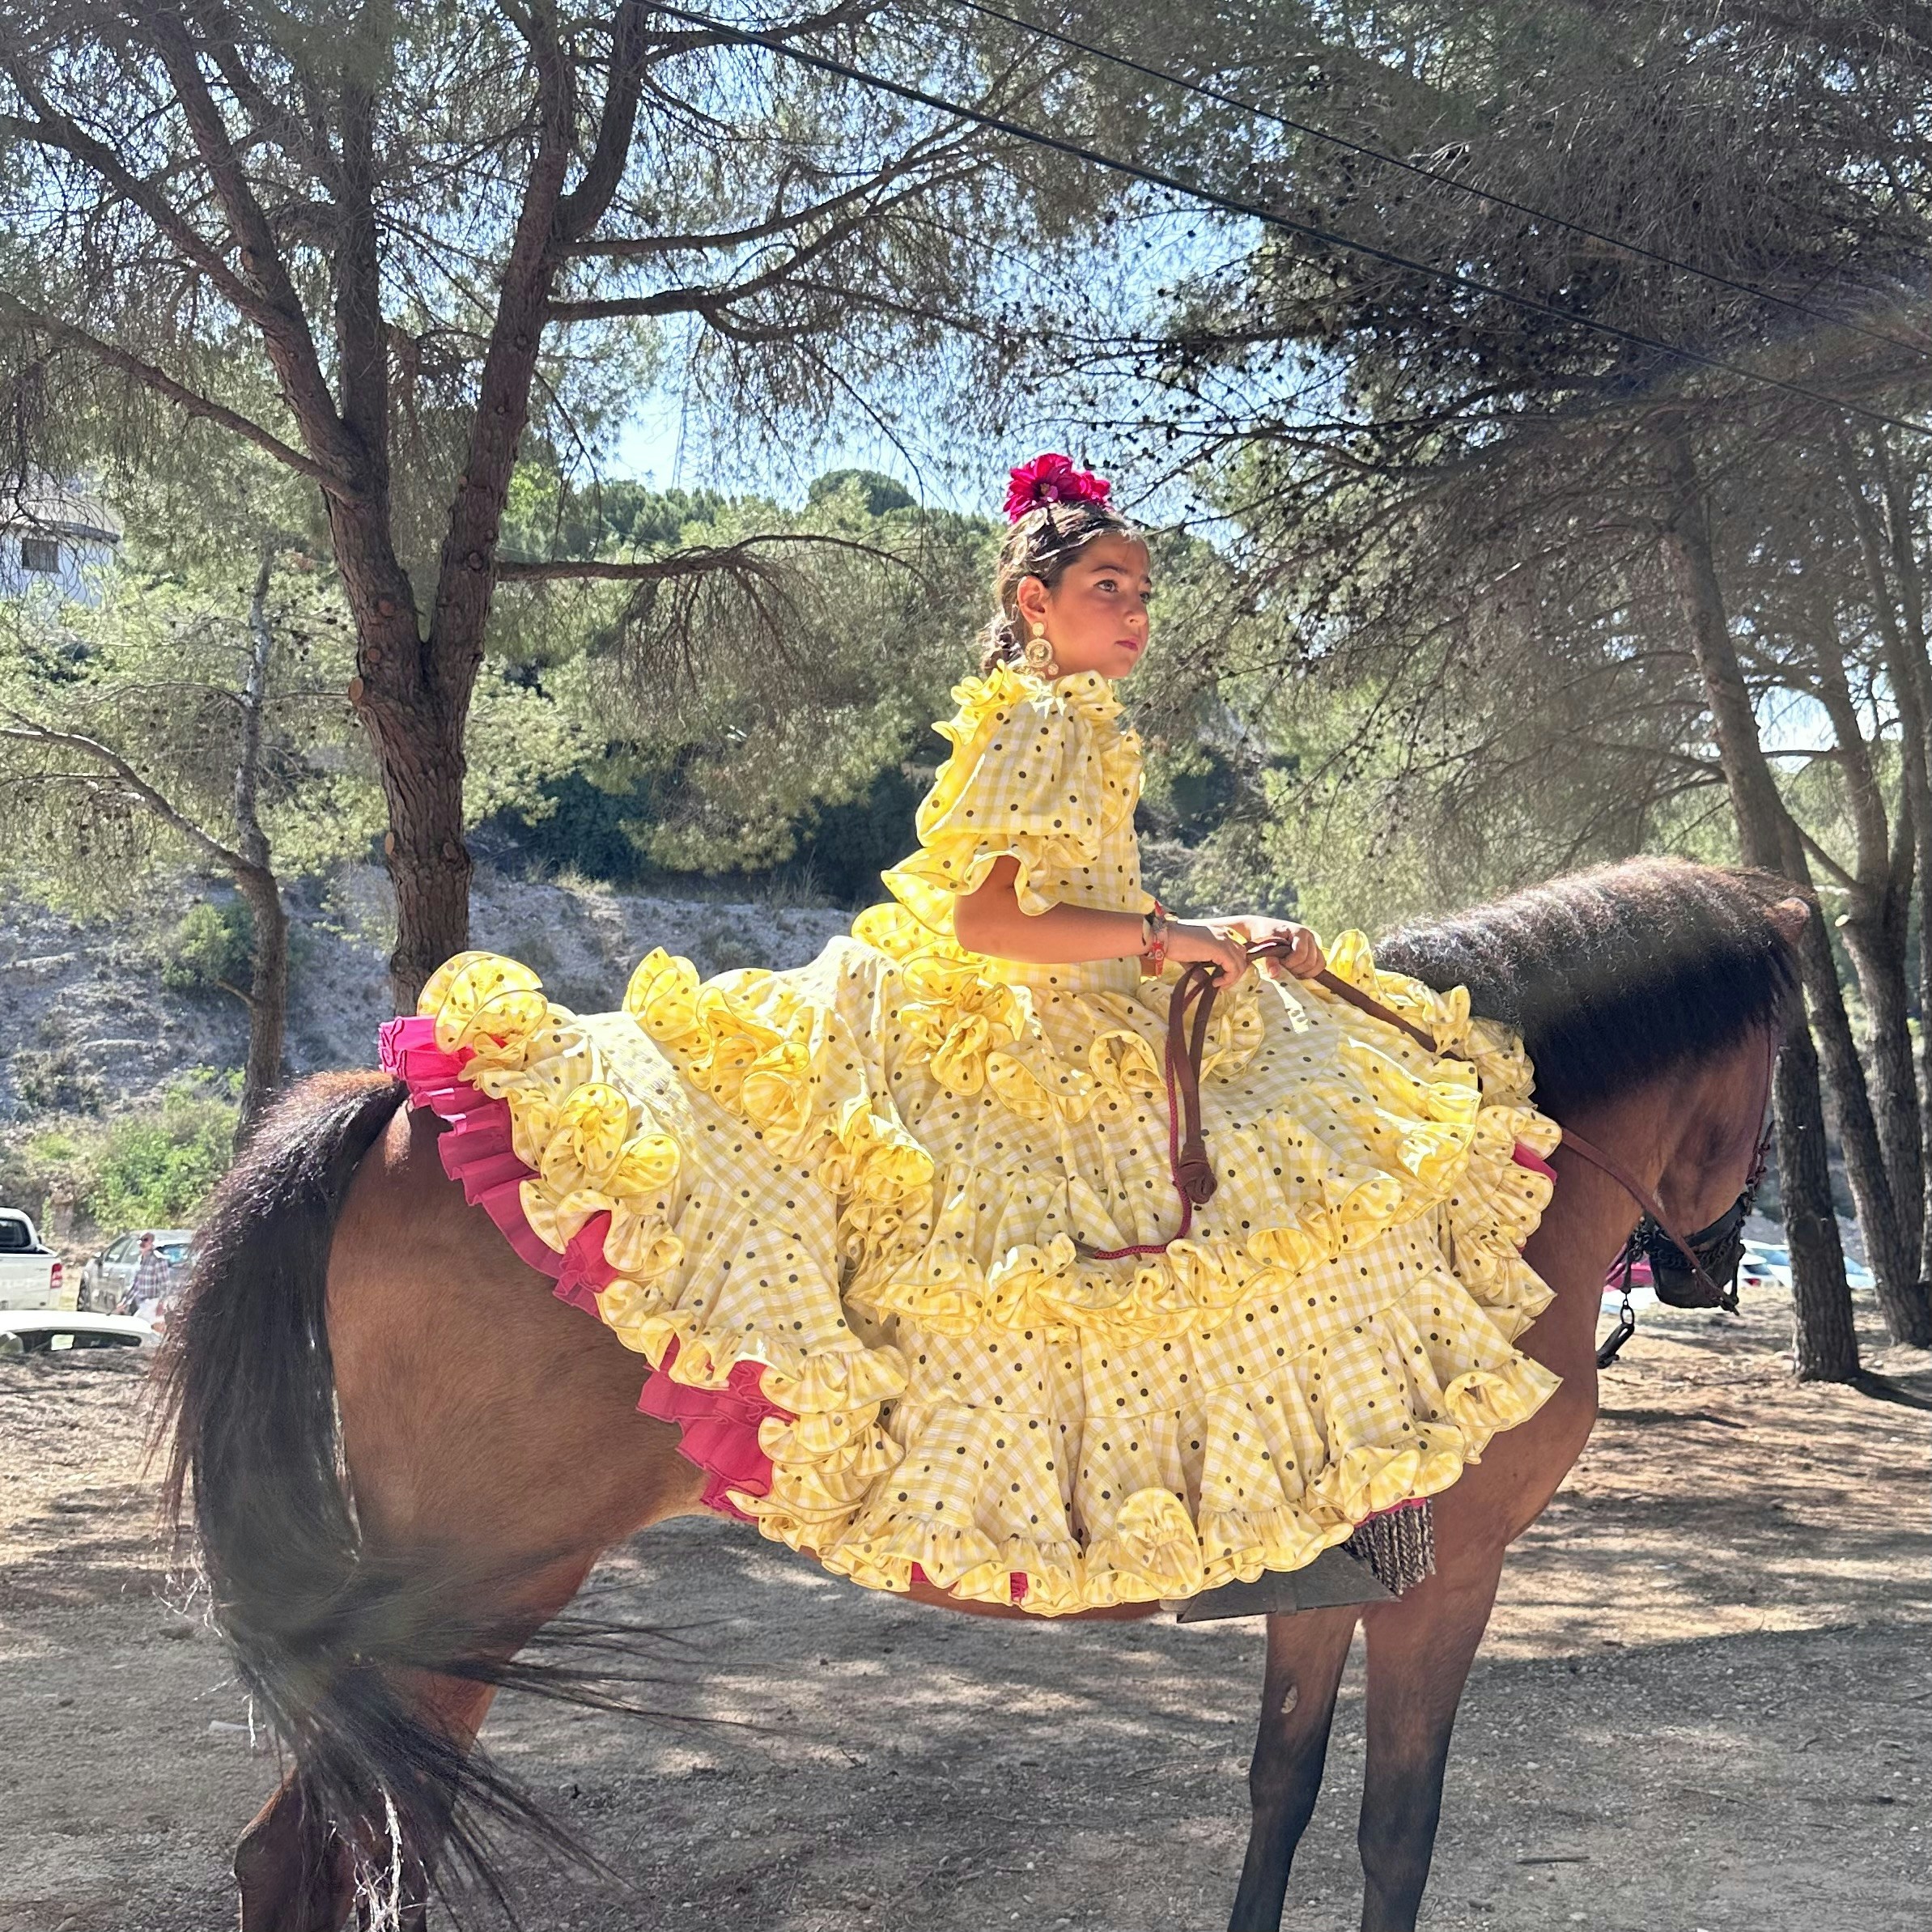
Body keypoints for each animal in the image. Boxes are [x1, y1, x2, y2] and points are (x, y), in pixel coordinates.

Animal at [158, 856, 1803, 1932]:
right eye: (1785, 1060)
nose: (1717, 1260)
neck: (1498, 1155)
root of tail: (391, 1094)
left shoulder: (1330, 1575)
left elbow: (1280, 1785)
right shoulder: (1447, 1581)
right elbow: (1397, 1827)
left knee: (306, 1853)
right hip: (459, 1608)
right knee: (327, 1854)